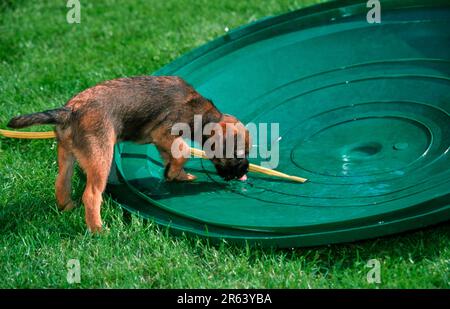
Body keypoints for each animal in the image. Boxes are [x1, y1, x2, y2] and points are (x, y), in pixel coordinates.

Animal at [7, 76, 250, 231]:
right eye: (239, 154)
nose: (245, 171)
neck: (200, 112)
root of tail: (71, 110)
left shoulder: (162, 140)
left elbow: (172, 157)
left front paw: (175, 174)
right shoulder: (164, 131)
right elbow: (181, 153)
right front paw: (175, 172)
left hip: (67, 155)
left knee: (61, 183)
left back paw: (67, 208)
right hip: (101, 159)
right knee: (91, 195)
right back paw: (98, 230)